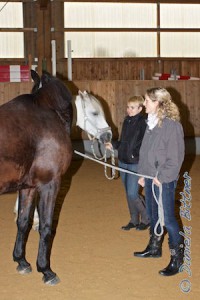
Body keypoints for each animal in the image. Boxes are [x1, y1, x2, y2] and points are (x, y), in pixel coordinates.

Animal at [0, 71, 112, 286]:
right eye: (95, 113)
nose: (108, 136)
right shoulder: (50, 184)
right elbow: (45, 226)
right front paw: (46, 270)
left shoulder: (27, 187)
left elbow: (23, 221)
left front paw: (21, 261)